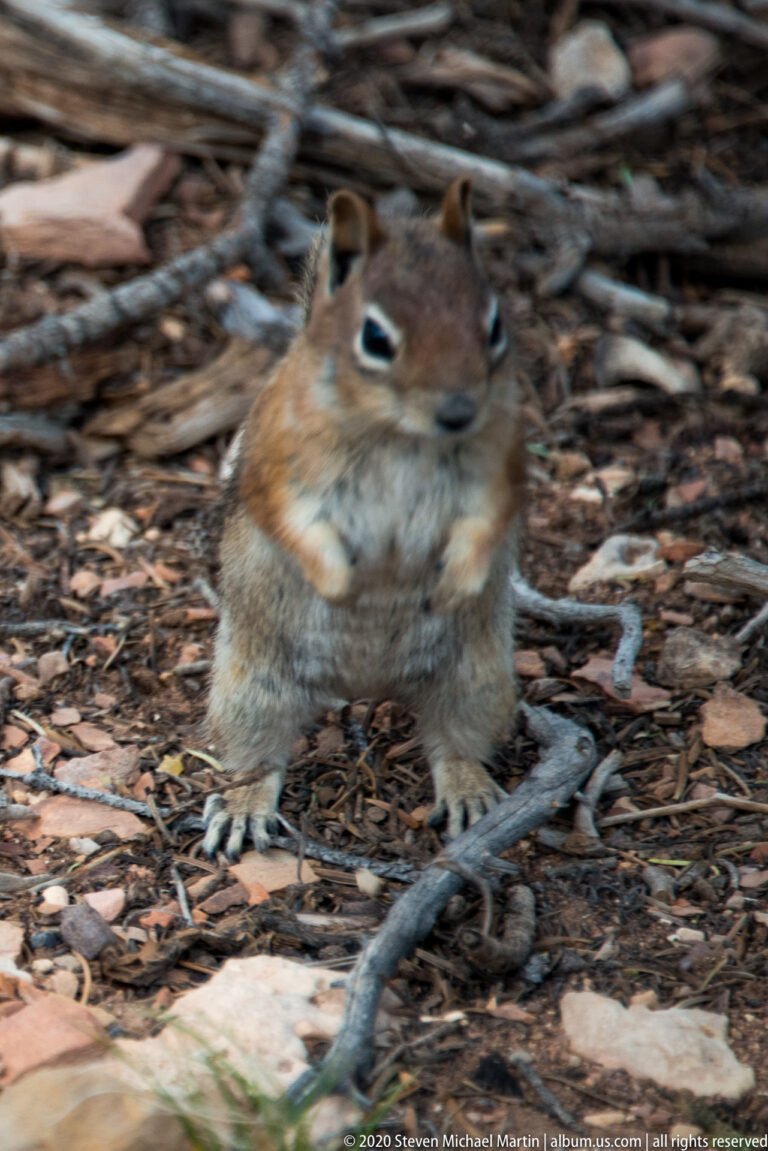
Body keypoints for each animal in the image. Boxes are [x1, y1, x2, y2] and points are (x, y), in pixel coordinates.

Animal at [203, 177, 525, 857]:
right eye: (376, 338)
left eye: (493, 325)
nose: (458, 409)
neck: (399, 431)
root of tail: (365, 686)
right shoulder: (279, 461)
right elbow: (291, 519)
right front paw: (341, 585)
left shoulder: (500, 459)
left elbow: (486, 520)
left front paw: (453, 582)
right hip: (252, 687)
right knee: (257, 758)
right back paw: (243, 806)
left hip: (477, 680)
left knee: (454, 743)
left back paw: (470, 792)